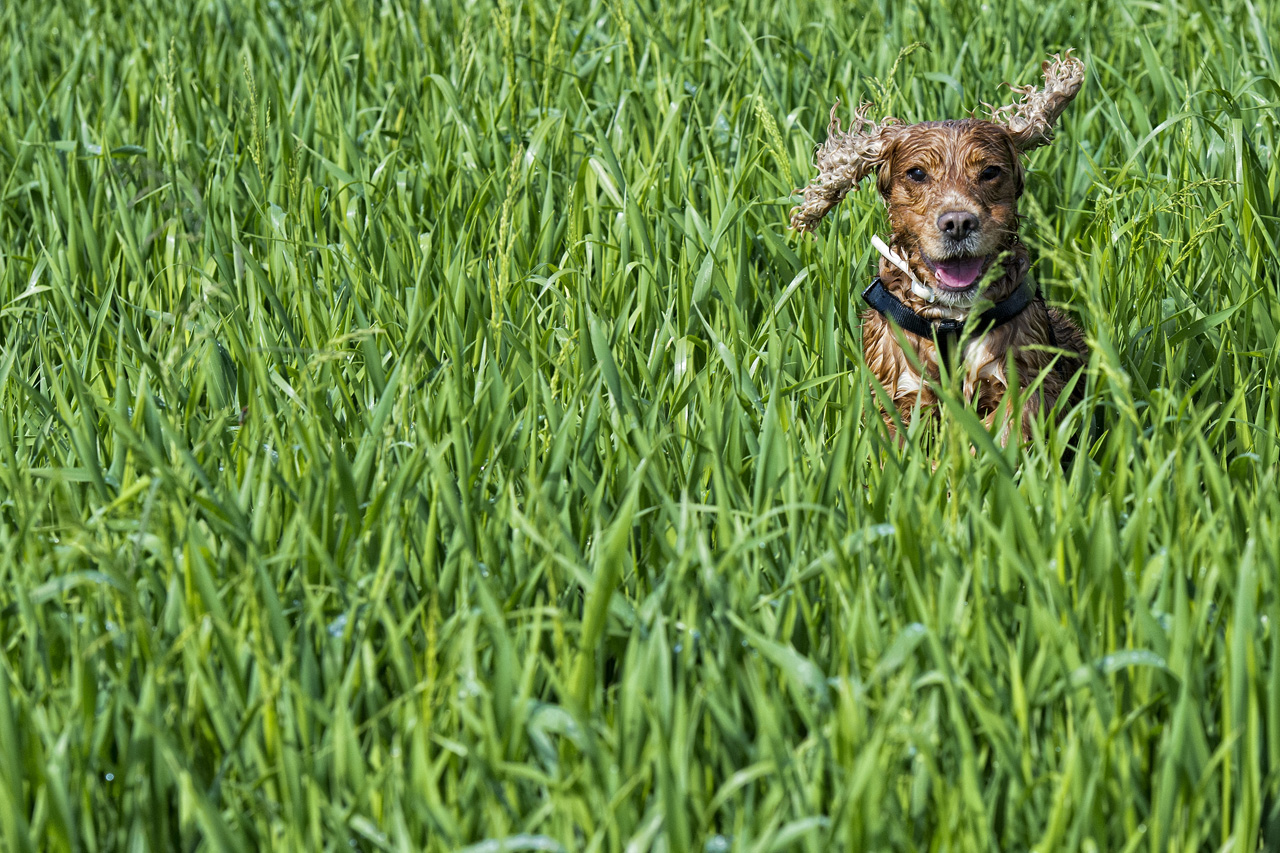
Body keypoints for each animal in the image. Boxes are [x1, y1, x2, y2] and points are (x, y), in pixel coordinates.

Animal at [793, 54, 1085, 440]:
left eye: (990, 172)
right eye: (917, 174)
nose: (958, 223)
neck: (952, 320)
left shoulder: (1029, 379)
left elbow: (1008, 424)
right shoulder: (897, 389)